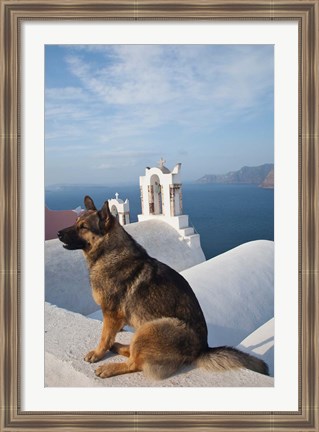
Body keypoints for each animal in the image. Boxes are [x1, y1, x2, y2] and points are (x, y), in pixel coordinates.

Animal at [58, 197, 270, 380]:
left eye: (83, 227)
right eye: (75, 221)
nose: (59, 233)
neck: (109, 251)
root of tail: (201, 350)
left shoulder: (111, 315)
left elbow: (104, 338)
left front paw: (97, 353)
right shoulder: (117, 318)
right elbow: (110, 337)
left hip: (152, 327)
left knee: (135, 363)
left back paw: (110, 367)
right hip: (143, 328)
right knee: (134, 352)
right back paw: (118, 347)